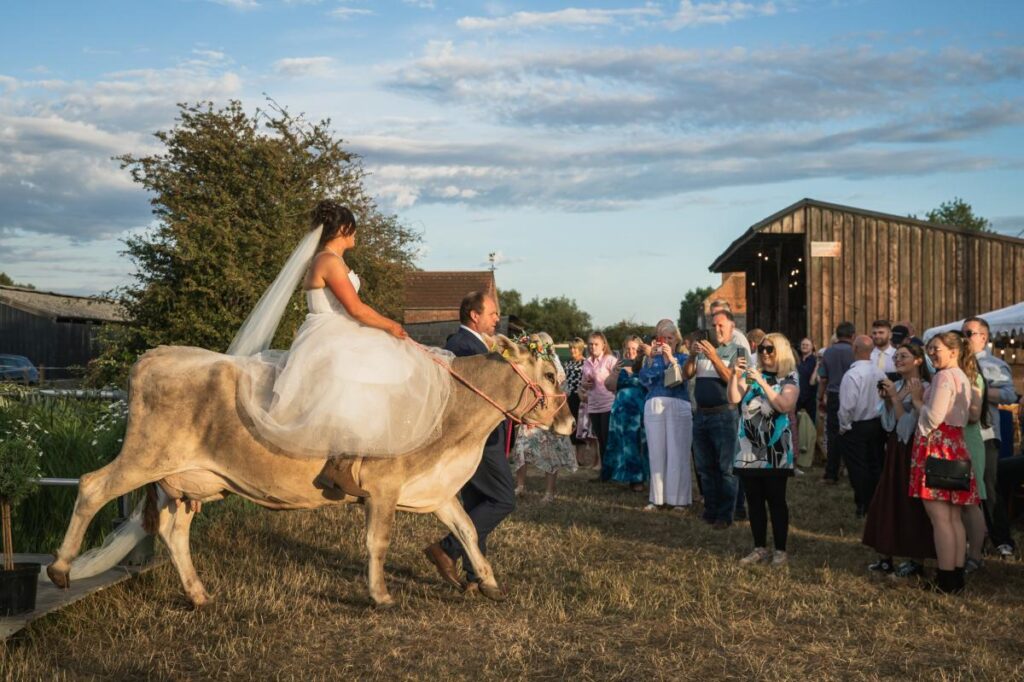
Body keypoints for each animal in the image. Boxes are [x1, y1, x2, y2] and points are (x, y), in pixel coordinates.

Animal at [46, 335, 572, 608]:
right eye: (549, 375)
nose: (569, 421)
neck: (455, 420)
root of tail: (157, 354)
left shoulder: (436, 489)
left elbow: (466, 530)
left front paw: (487, 581)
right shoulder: (383, 487)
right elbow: (378, 542)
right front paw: (380, 595)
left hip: (183, 479)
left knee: (175, 532)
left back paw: (198, 594)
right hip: (145, 455)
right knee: (92, 486)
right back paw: (60, 569)